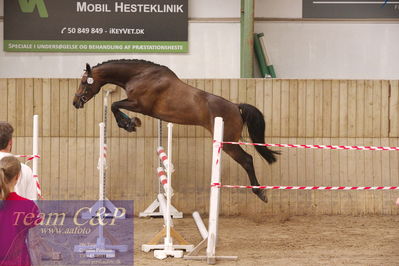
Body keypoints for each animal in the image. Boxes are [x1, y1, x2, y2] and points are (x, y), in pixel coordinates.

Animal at [72, 59, 278, 203]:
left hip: (228, 143)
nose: (75, 102)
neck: (139, 75)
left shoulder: (140, 105)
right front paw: (131, 123)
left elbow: (115, 105)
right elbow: (116, 106)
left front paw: (129, 124)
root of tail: (236, 107)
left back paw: (260, 192)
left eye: (84, 81)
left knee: (247, 160)